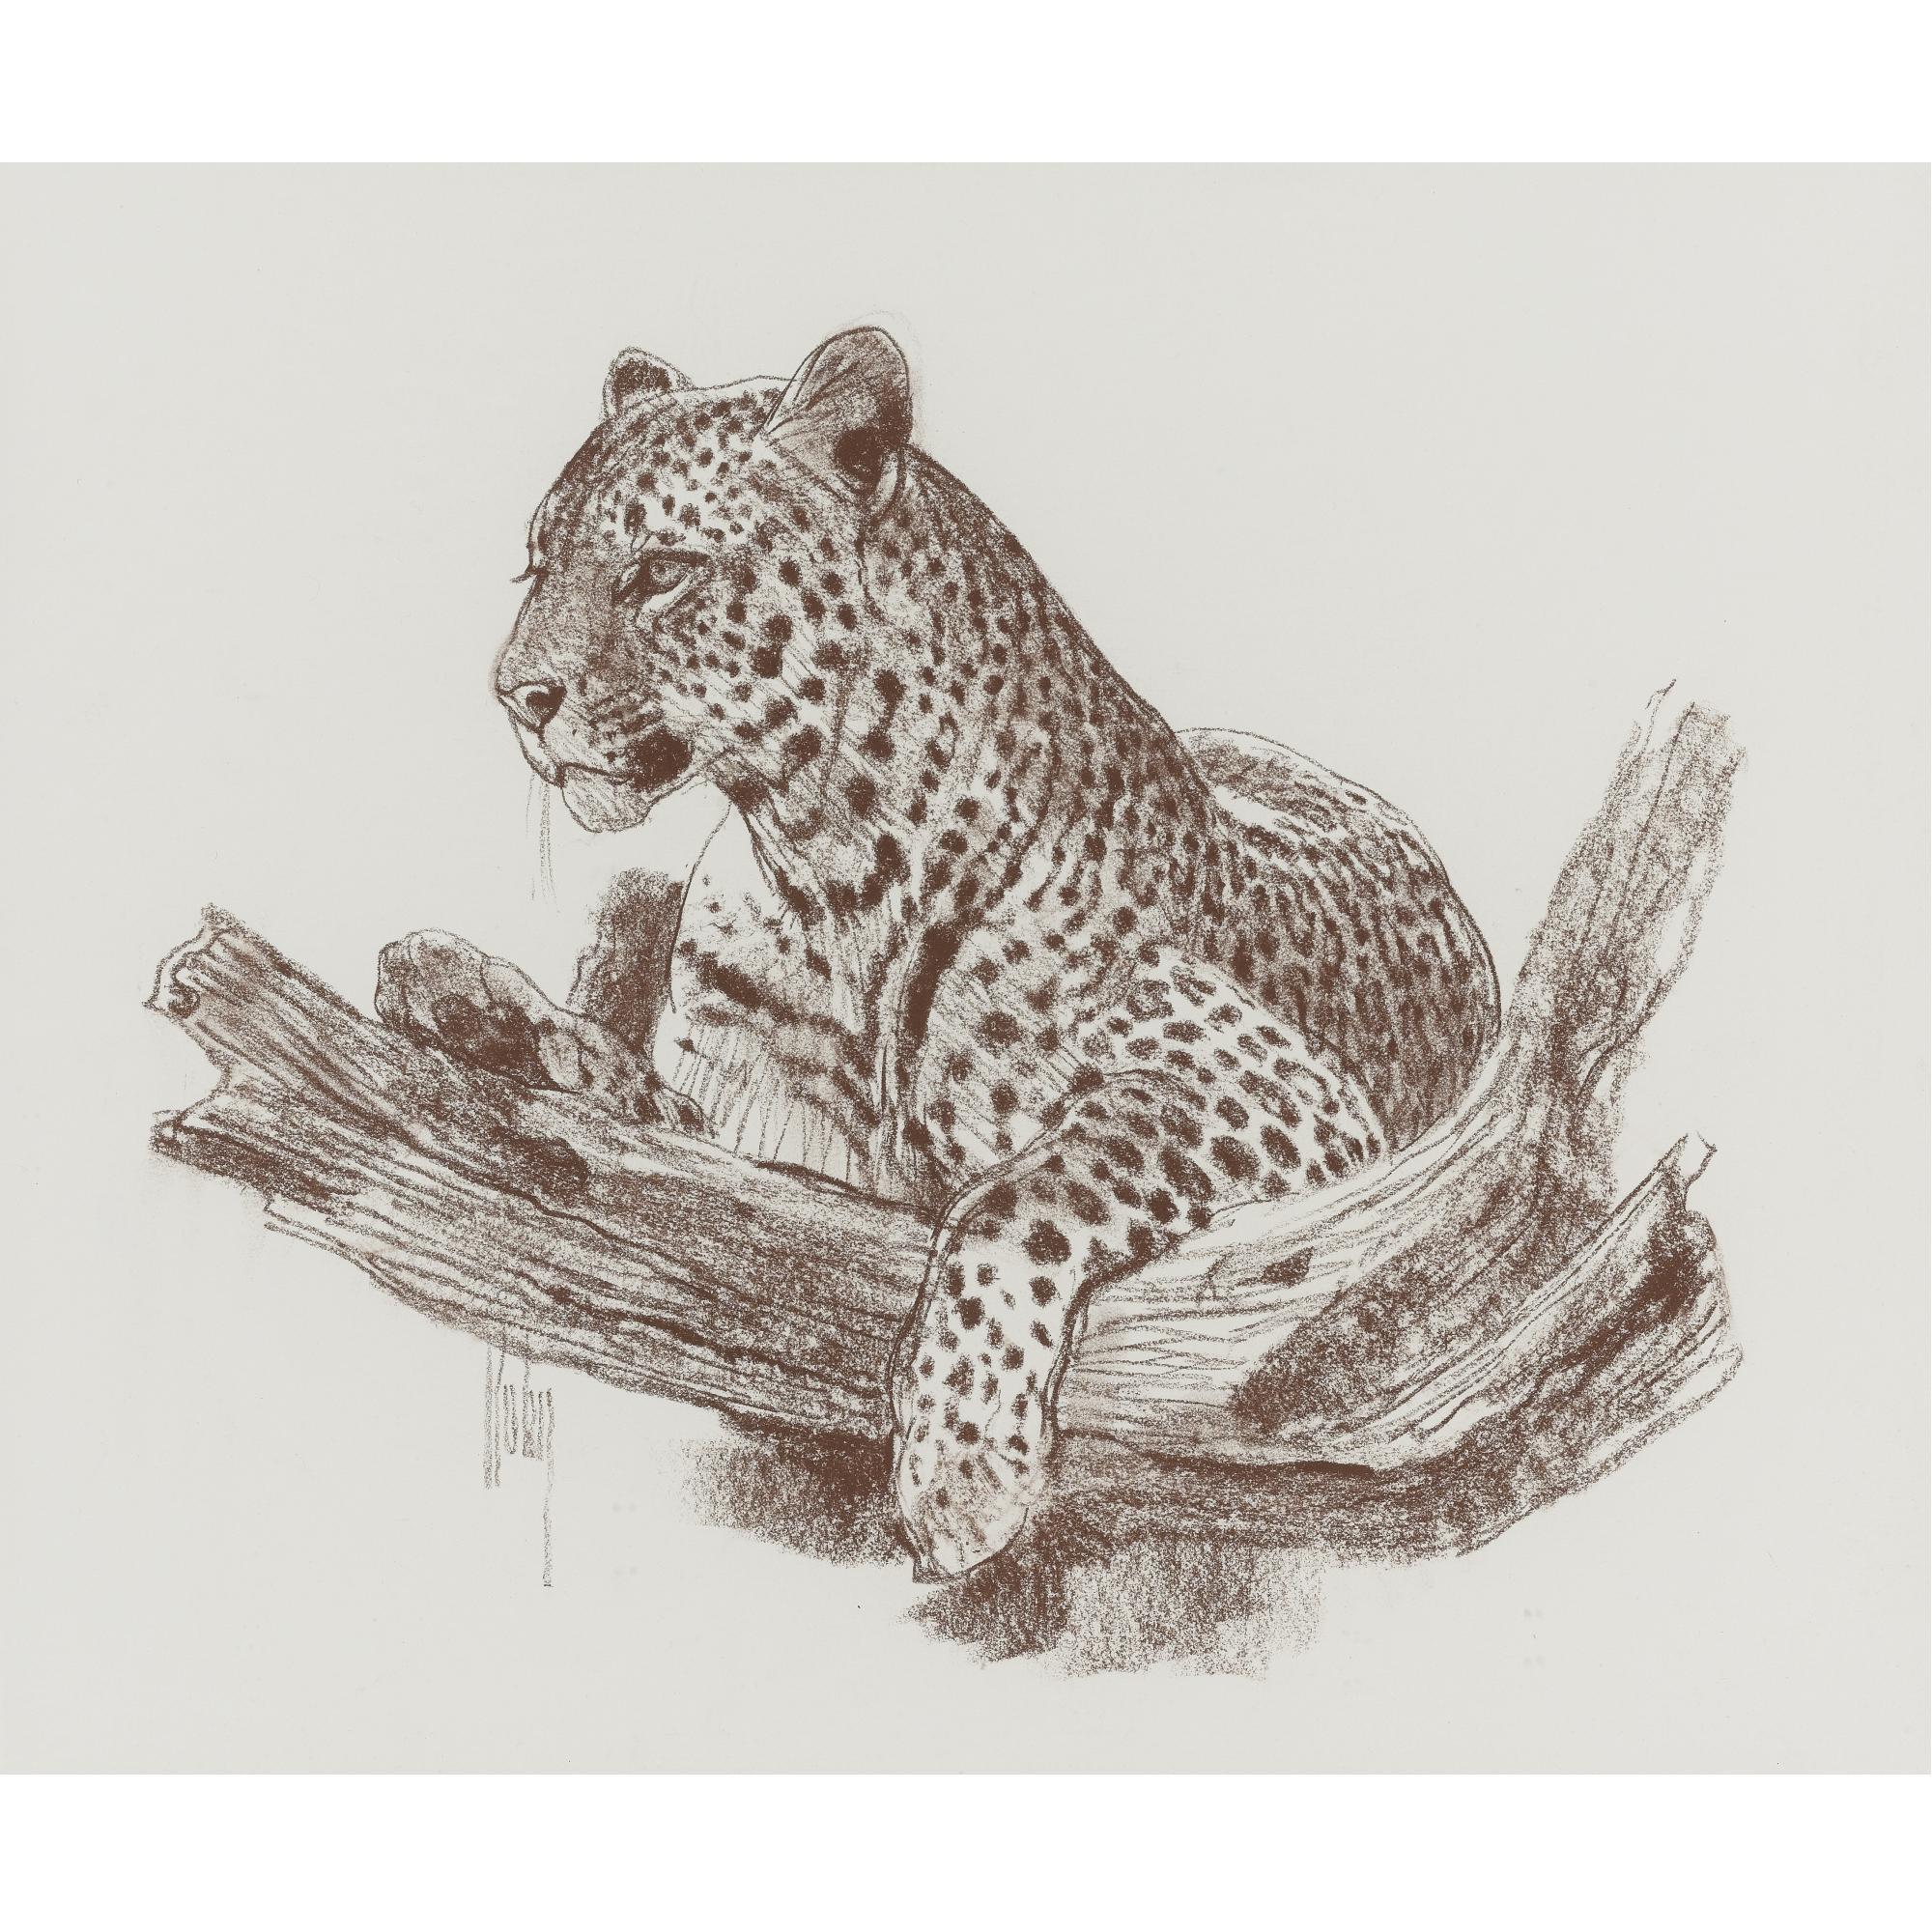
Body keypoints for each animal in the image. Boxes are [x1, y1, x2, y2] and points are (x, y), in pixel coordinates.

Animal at [375, 327, 1500, 1580]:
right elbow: (630, 1101)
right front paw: (470, 998)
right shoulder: (752, 1146)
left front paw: (962, 1467)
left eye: (661, 569)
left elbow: (1025, 1192)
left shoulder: (1287, 1100)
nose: (517, 695)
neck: (827, 869)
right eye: (535, 565)